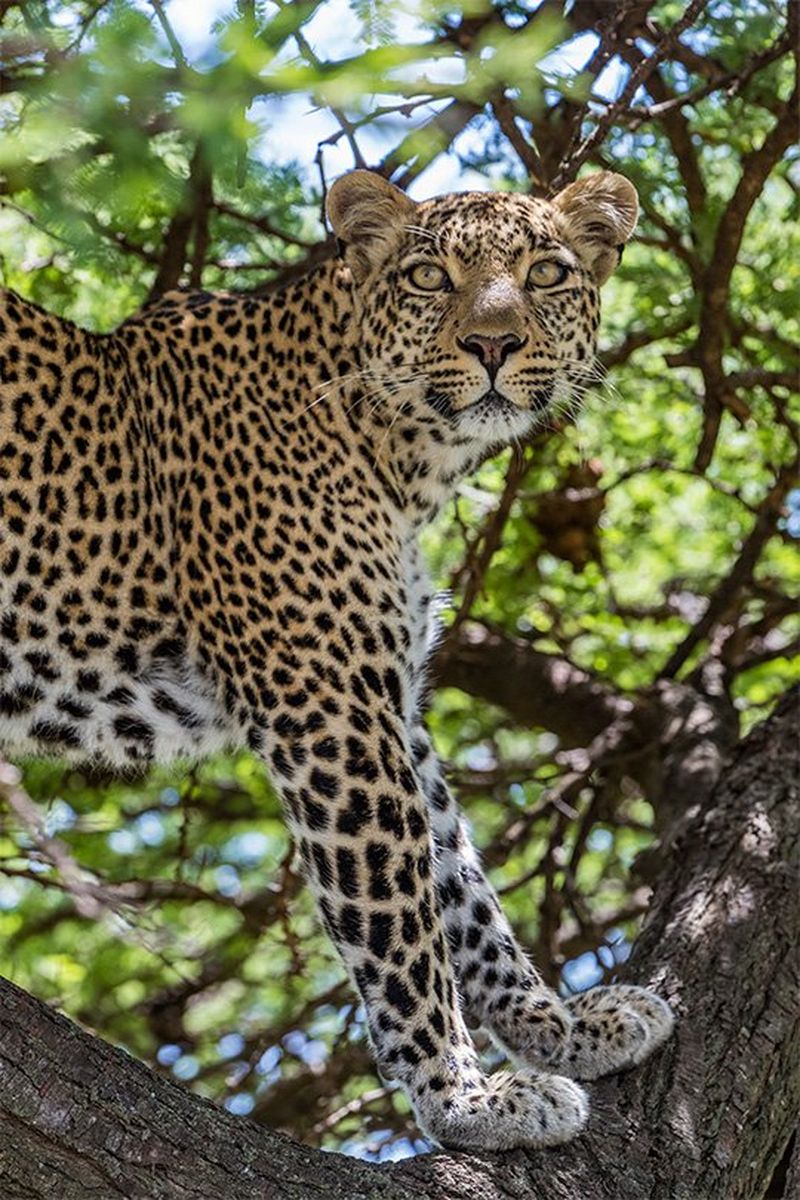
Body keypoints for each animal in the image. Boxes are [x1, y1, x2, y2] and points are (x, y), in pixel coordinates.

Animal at [0, 168, 674, 1152]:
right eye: (430, 277)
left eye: (545, 272)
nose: (494, 343)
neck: (407, 458)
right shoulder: (331, 712)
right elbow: (401, 925)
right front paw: (463, 1098)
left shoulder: (388, 705)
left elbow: (462, 889)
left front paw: (562, 1027)